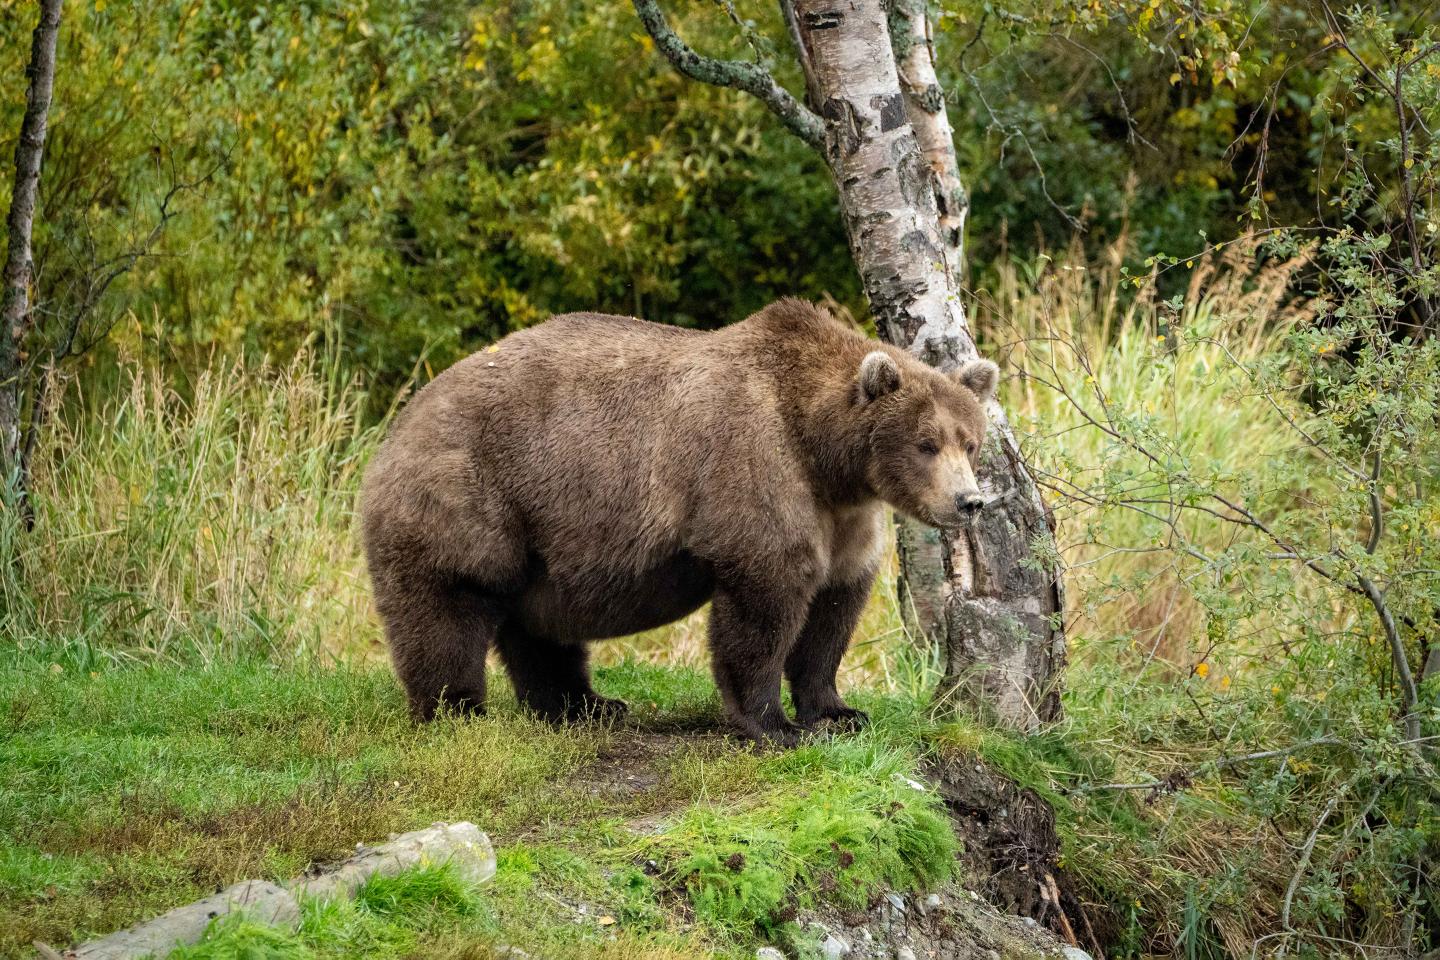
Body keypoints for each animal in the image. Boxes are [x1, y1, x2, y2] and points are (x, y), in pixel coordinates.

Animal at [360, 298, 999, 745]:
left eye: (970, 441)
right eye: (926, 443)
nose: (969, 501)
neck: (825, 455)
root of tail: (398, 424)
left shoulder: (846, 517)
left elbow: (834, 607)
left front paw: (839, 712)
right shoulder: (754, 465)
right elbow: (766, 600)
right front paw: (774, 724)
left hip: (542, 536)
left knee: (538, 624)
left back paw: (587, 705)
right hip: (469, 495)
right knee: (446, 607)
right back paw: (457, 711)